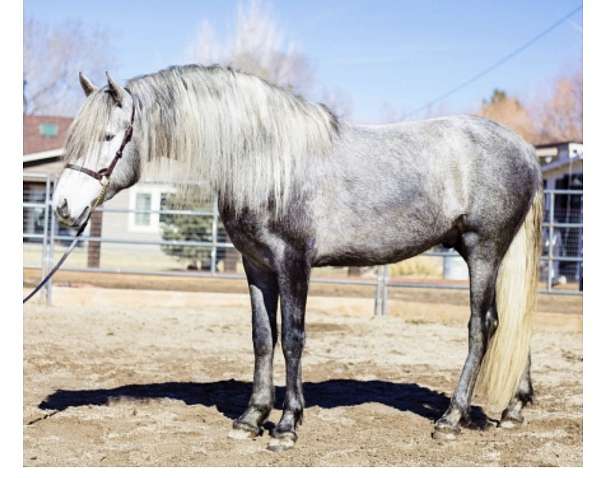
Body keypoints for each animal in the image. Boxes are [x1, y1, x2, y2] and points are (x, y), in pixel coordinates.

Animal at [52, 66, 544, 452]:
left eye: (109, 136)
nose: (62, 206)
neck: (265, 158)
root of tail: (523, 149)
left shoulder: (293, 263)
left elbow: (292, 338)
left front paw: (287, 425)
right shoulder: (256, 266)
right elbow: (262, 338)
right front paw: (251, 418)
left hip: (483, 251)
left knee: (482, 326)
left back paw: (451, 419)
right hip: (490, 255)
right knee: (514, 324)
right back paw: (513, 409)